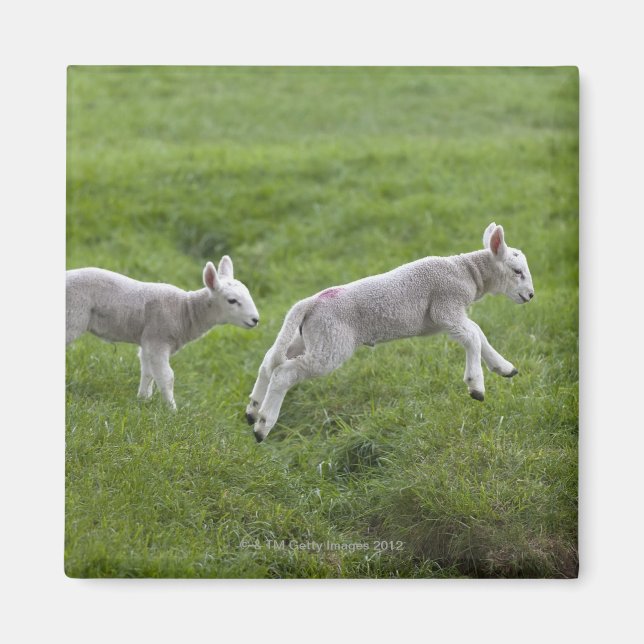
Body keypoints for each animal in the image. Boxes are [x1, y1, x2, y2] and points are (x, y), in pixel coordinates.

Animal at [66, 256, 259, 409]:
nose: (255, 320)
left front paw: (143, 400)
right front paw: (172, 411)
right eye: (232, 300)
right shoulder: (158, 340)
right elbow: (167, 377)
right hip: (73, 315)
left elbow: (148, 372)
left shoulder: (148, 342)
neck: (185, 311)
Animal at [246, 223, 534, 442]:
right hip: (331, 343)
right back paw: (263, 426)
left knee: (269, 361)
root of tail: (310, 303)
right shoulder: (445, 306)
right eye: (517, 271)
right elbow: (473, 335)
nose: (531, 296)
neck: (466, 272)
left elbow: (477, 333)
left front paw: (504, 367)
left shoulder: (449, 317)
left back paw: (252, 410)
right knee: (285, 373)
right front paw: (476, 385)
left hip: (308, 337)